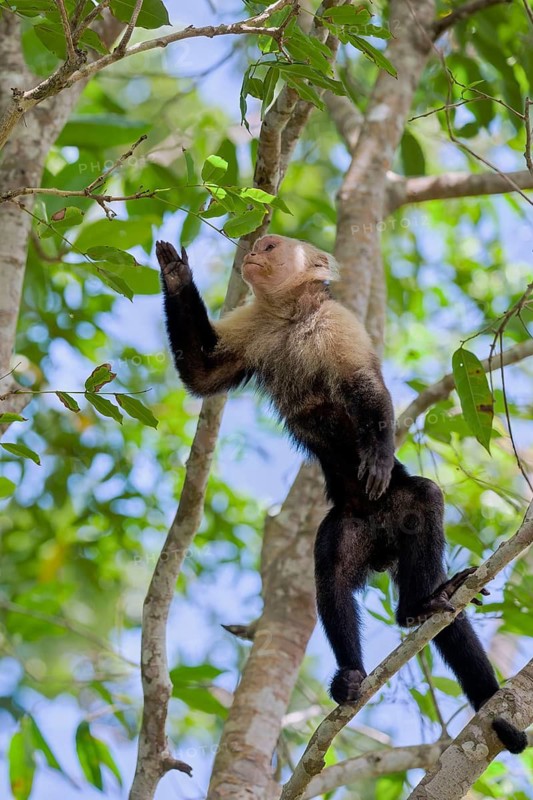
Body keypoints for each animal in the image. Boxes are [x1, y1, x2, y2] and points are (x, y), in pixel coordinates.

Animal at [156, 235, 527, 754]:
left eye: (270, 246)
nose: (251, 253)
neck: (293, 316)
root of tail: (381, 542)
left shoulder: (337, 323)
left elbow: (364, 388)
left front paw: (376, 453)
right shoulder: (257, 327)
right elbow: (201, 374)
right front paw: (174, 273)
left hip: (399, 507)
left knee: (425, 499)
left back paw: (418, 605)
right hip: (348, 525)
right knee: (330, 573)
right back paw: (351, 675)